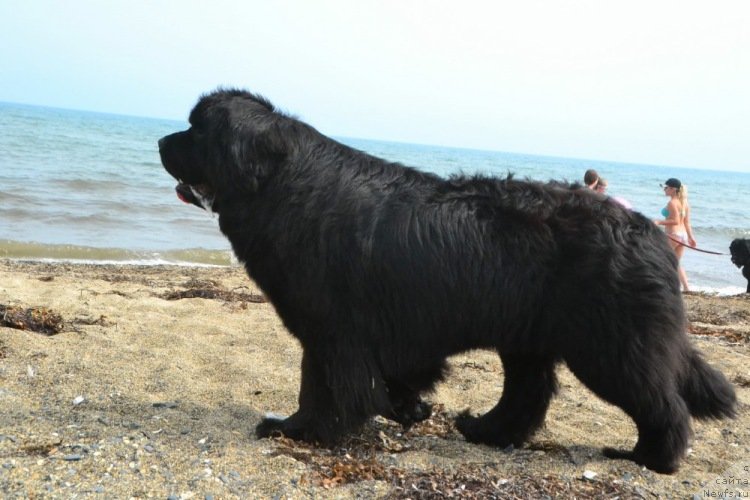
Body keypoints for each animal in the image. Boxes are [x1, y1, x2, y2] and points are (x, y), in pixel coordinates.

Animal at [156, 89, 736, 472]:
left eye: (196, 129)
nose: (161, 140)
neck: (280, 184)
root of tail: (648, 233)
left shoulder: (330, 329)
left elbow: (321, 384)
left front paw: (302, 430)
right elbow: (383, 379)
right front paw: (406, 407)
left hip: (609, 345)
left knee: (661, 402)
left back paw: (650, 457)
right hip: (528, 336)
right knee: (528, 393)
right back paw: (485, 430)